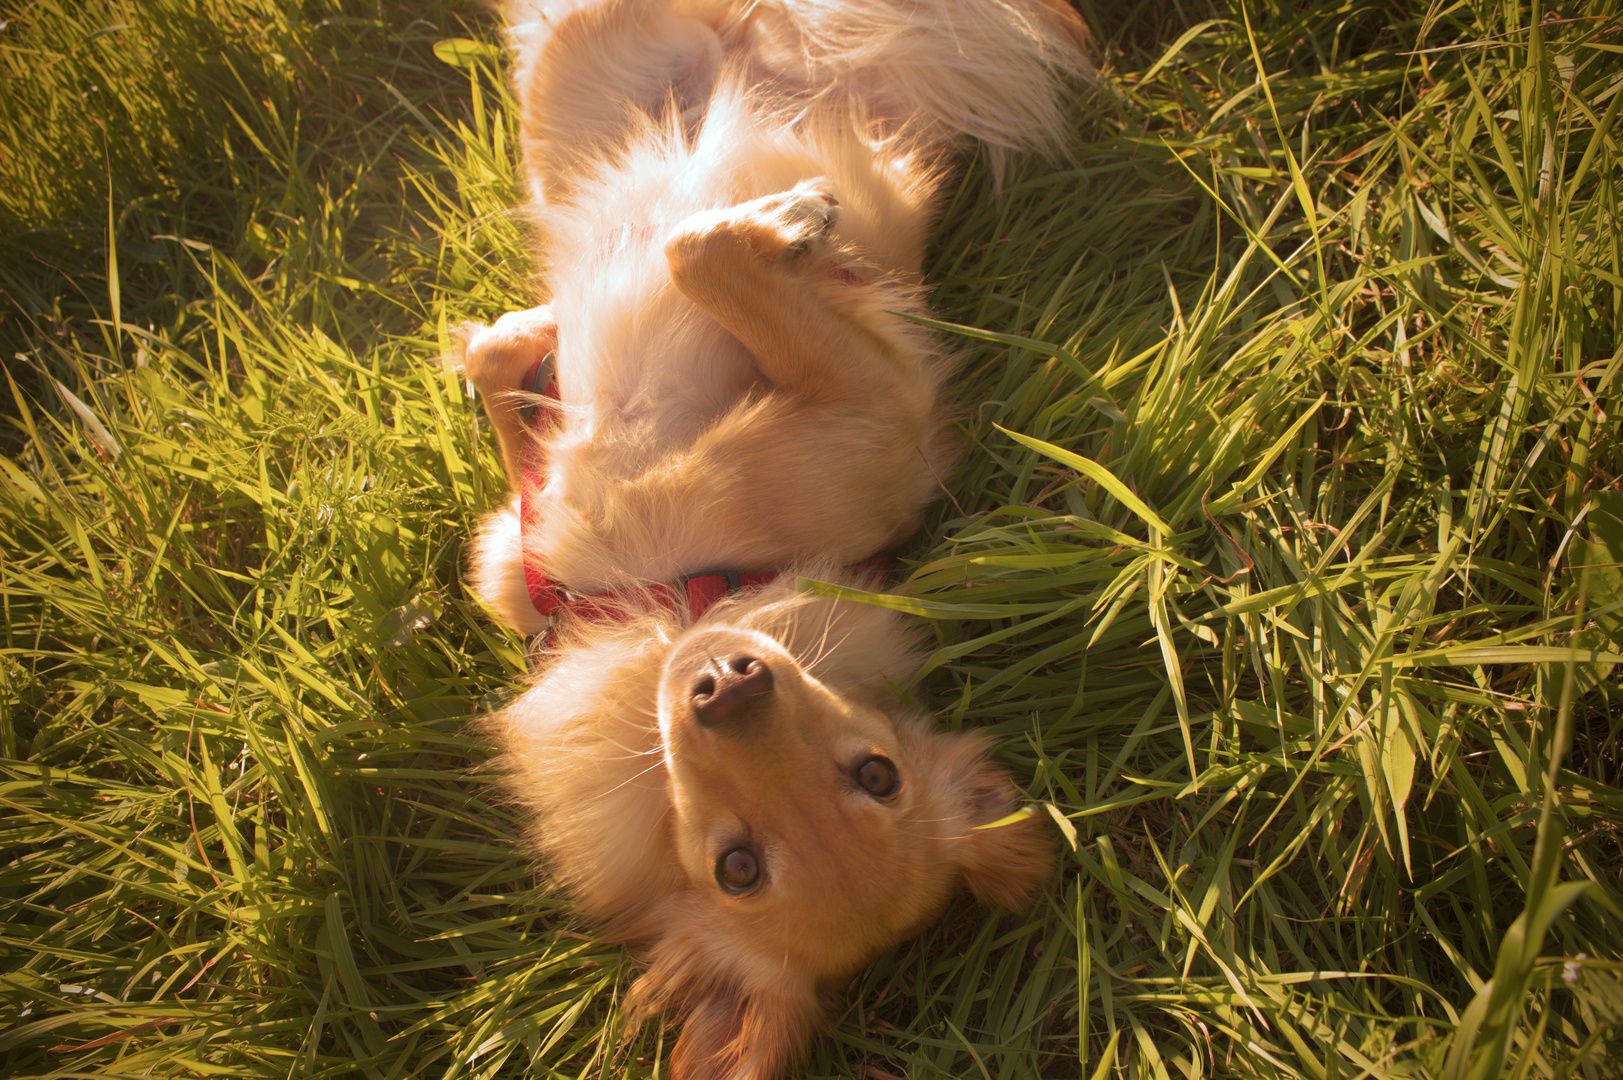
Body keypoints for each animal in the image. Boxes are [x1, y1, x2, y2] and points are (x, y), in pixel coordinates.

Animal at [457, 4, 1090, 1071]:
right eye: (738, 866)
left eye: (875, 776)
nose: (727, 685)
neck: (668, 597)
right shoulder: (517, 558)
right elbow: (514, 377)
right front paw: (527, 347)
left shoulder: (876, 406)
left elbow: (695, 260)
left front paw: (781, 225)